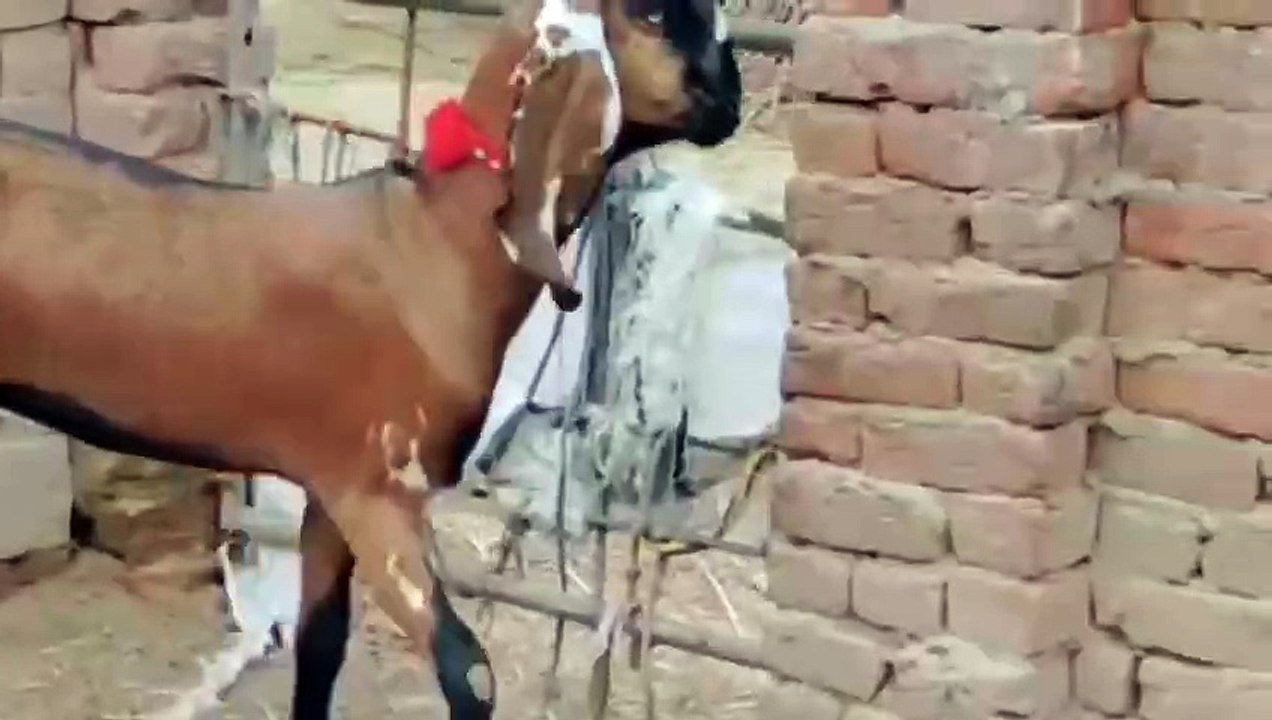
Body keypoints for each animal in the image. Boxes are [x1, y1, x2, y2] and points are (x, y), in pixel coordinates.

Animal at [0, 1, 740, 719]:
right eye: (649, 15)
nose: (731, 96)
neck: (433, 242)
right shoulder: (380, 494)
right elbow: (469, 670)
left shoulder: (331, 490)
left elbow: (321, 643)